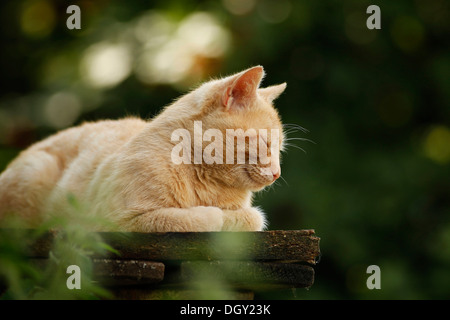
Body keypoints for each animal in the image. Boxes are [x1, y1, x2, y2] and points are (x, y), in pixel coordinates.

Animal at [0, 66, 286, 231]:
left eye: (279, 149)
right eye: (266, 144)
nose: (277, 173)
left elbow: (253, 218)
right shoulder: (116, 223)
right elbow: (200, 219)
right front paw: (211, 214)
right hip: (36, 171)